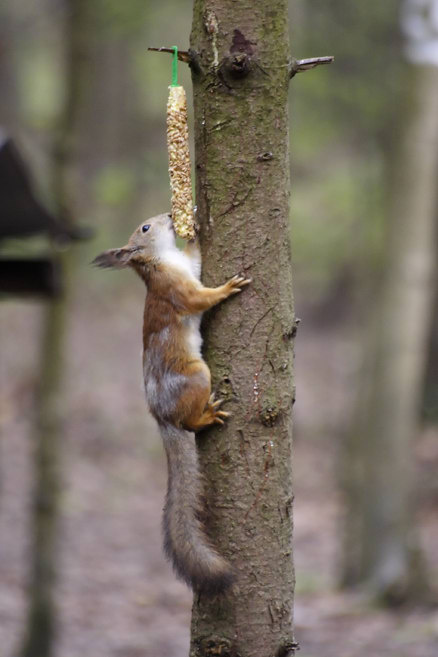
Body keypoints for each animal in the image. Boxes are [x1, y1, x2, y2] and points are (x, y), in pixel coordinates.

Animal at [93, 212, 250, 596]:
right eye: (145, 228)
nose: (166, 216)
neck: (161, 259)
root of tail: (161, 417)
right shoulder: (176, 288)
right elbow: (199, 299)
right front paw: (227, 288)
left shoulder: (187, 267)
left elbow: (195, 259)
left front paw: (193, 228)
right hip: (198, 376)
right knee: (190, 422)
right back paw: (207, 416)